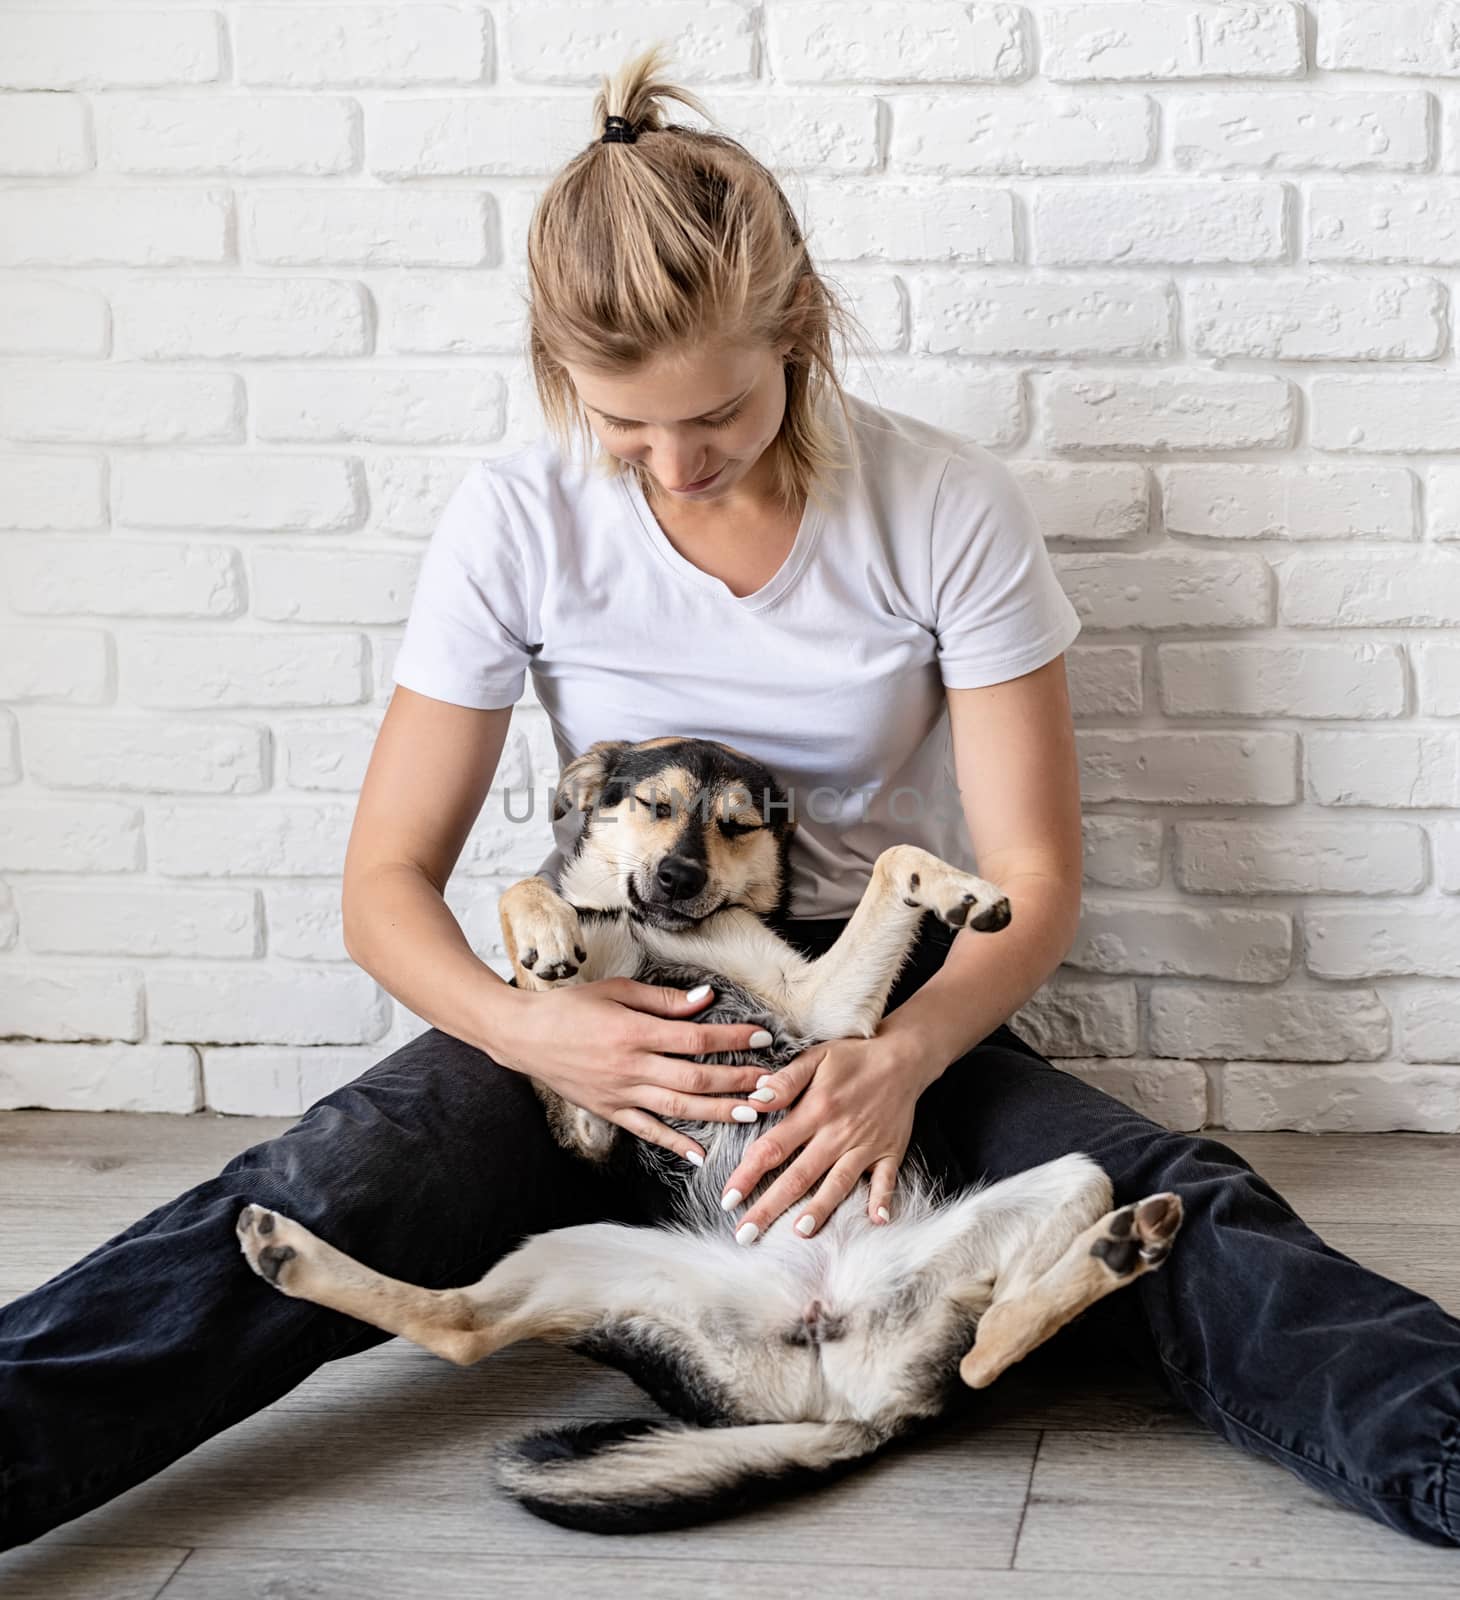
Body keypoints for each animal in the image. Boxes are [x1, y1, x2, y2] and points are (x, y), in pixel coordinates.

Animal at [233, 736, 1178, 1536]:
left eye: (734, 826)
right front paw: (544, 930)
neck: (653, 931)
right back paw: (285, 1252)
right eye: (654, 805)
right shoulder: (590, 1110)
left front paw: (958, 889)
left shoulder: (818, 1011)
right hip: (580, 1256)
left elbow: (892, 860)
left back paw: (1118, 1248)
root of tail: (842, 1394)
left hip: (1069, 1180)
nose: (680, 877)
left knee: (989, 1346)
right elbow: (530, 911)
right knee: (462, 1325)